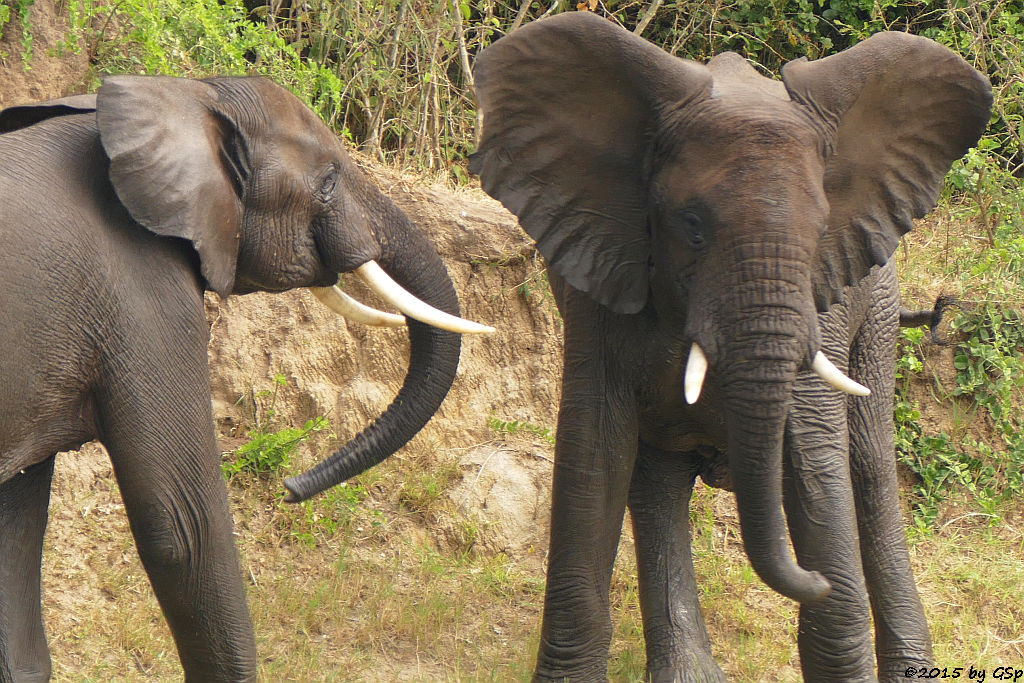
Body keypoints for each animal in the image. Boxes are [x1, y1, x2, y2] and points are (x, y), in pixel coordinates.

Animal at [0, 72, 491, 679]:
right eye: (328, 182)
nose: (291, 489)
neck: (186, 95)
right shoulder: (143, 293)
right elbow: (184, 527)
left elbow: (15, 529)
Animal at [471, 12, 991, 683]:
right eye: (692, 227)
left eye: (819, 231)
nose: (815, 578)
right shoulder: (597, 280)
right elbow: (595, 453)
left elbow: (814, 461)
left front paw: (831, 583)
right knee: (658, 477)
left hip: (875, 307)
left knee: (870, 473)